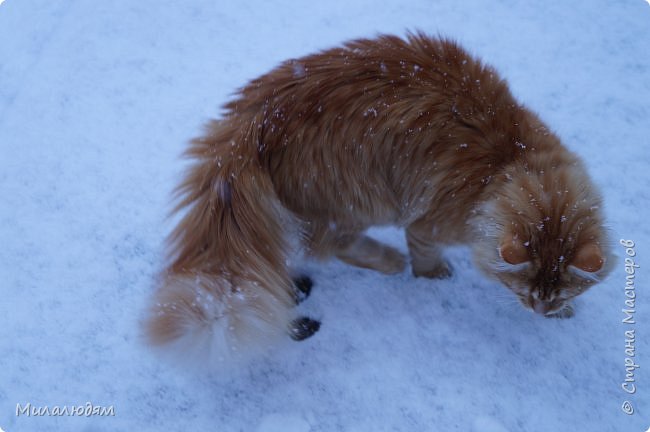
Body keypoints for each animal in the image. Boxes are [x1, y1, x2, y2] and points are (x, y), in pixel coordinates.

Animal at [144, 32, 612, 360]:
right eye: (523, 291)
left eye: (557, 295)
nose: (539, 312)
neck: (507, 163)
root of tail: (258, 118)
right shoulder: (428, 222)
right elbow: (424, 255)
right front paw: (433, 277)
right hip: (363, 200)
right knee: (331, 246)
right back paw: (390, 262)